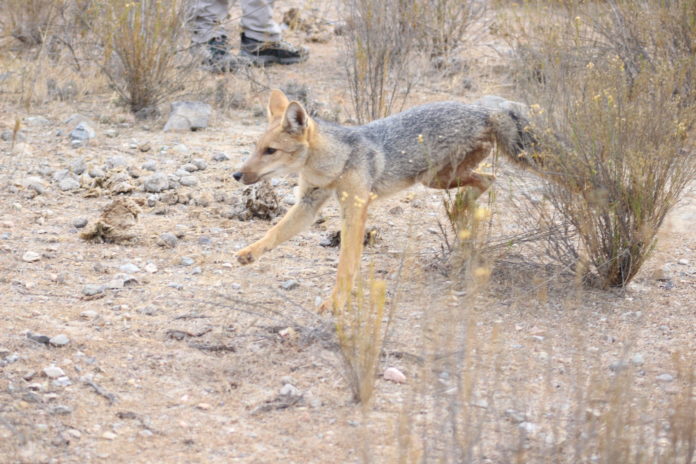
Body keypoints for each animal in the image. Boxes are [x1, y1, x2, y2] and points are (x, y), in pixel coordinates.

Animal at [231, 89, 540, 314]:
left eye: (271, 151)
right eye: (256, 148)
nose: (237, 174)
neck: (333, 163)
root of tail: (484, 110)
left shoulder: (355, 210)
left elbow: (346, 263)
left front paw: (336, 302)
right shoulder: (308, 204)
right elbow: (275, 232)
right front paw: (250, 252)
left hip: (434, 177)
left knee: (488, 179)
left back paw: (461, 210)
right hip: (437, 179)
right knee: (487, 179)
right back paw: (460, 209)